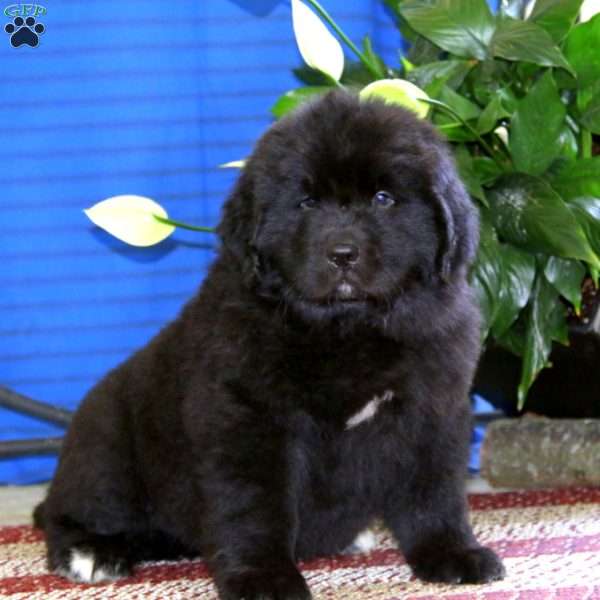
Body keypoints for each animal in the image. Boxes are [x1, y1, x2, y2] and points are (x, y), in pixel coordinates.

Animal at [35, 91, 506, 596]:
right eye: (306, 202)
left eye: (383, 199)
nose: (342, 253)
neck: (347, 328)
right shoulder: (249, 420)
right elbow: (255, 507)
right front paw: (263, 577)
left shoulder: (431, 410)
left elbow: (434, 493)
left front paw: (452, 554)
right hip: (106, 446)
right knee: (68, 512)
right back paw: (91, 552)